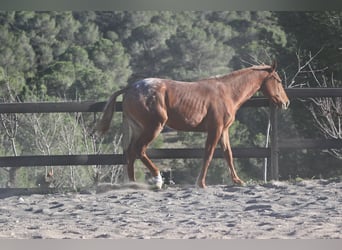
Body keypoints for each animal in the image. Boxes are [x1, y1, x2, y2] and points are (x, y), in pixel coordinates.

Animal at [97, 62, 290, 188]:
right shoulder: (215, 129)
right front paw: (201, 183)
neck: (226, 92)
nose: (286, 103)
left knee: (130, 152)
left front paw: (237, 181)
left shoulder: (223, 131)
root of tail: (130, 88)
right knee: (140, 150)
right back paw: (158, 179)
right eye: (278, 80)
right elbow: (209, 154)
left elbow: (228, 154)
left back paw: (133, 184)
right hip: (154, 127)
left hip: (139, 128)